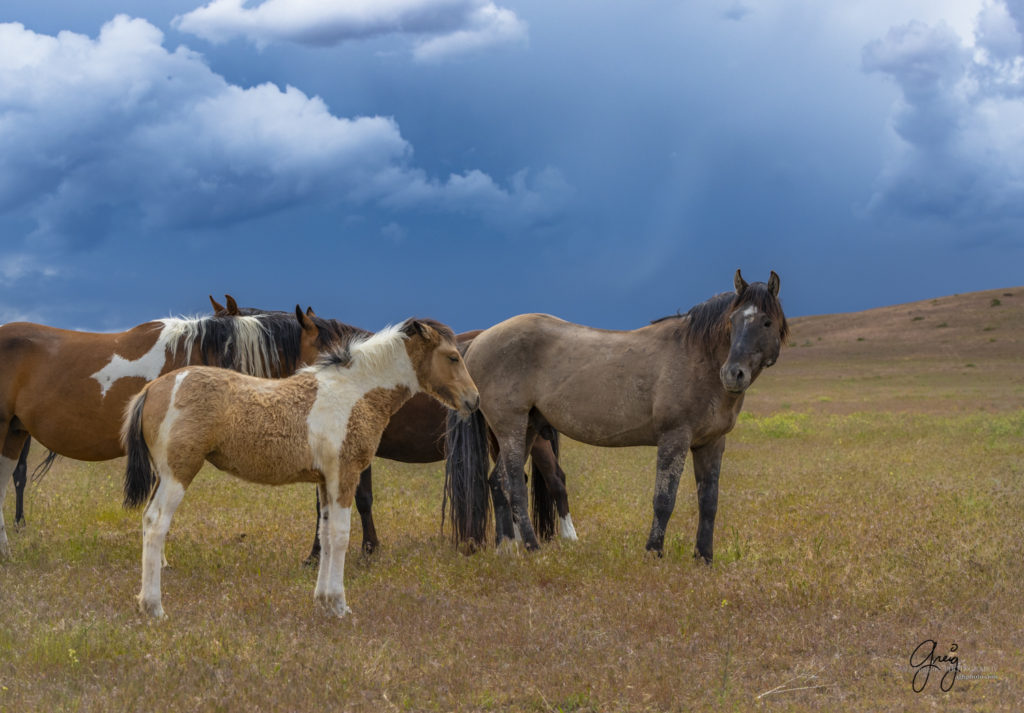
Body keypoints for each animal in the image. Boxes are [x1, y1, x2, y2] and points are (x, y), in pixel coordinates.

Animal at [123, 319, 479, 618]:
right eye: (452, 357)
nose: (473, 400)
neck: (354, 393)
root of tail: (153, 388)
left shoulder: (325, 480)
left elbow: (325, 534)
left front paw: (322, 601)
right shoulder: (344, 475)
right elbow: (340, 535)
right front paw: (339, 605)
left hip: (163, 475)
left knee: (147, 520)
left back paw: (143, 602)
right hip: (178, 473)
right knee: (156, 524)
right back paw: (155, 607)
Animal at [444, 270, 786, 561]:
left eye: (766, 322)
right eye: (733, 321)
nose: (733, 374)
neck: (697, 357)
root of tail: (478, 341)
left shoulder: (711, 444)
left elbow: (709, 502)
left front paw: (704, 558)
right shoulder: (674, 438)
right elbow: (664, 500)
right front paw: (653, 553)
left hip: (527, 428)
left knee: (499, 482)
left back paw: (506, 548)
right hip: (512, 428)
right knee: (515, 484)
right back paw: (531, 547)